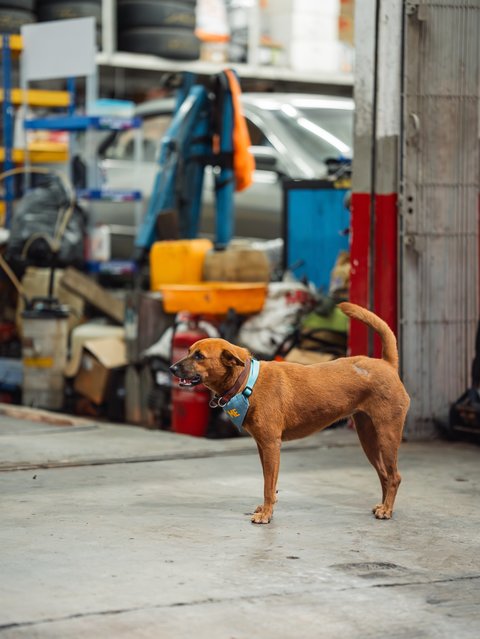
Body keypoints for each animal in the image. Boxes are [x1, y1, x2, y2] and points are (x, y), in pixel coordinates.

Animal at [169, 304, 408, 524]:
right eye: (188, 351)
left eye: (199, 356)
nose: (171, 368)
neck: (246, 382)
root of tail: (387, 364)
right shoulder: (262, 446)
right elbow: (270, 482)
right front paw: (267, 508)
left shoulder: (271, 445)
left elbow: (268, 485)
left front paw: (266, 514)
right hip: (367, 437)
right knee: (384, 475)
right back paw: (383, 506)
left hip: (387, 435)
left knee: (395, 476)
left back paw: (387, 510)